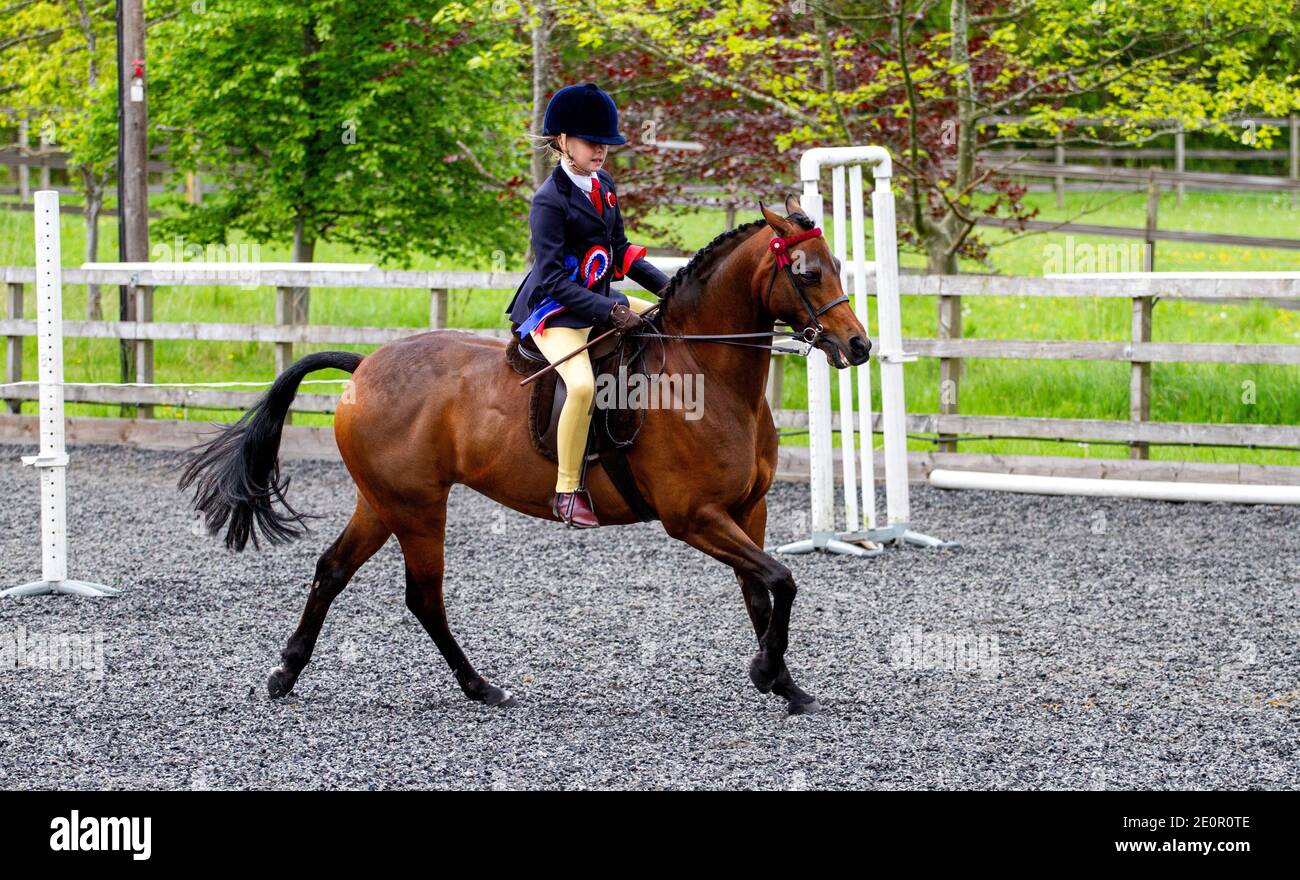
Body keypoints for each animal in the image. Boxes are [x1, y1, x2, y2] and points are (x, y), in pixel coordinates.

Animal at [178, 193, 868, 712]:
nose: (858, 346)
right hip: (416, 506)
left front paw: (786, 684)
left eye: (837, 263)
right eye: (806, 272)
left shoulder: (748, 510)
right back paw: (481, 687)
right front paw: (765, 673)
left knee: (332, 570)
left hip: (380, 501)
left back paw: (286, 674)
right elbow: (781, 579)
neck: (706, 374)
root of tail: (364, 365)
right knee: (423, 596)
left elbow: (763, 592)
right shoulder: (694, 517)